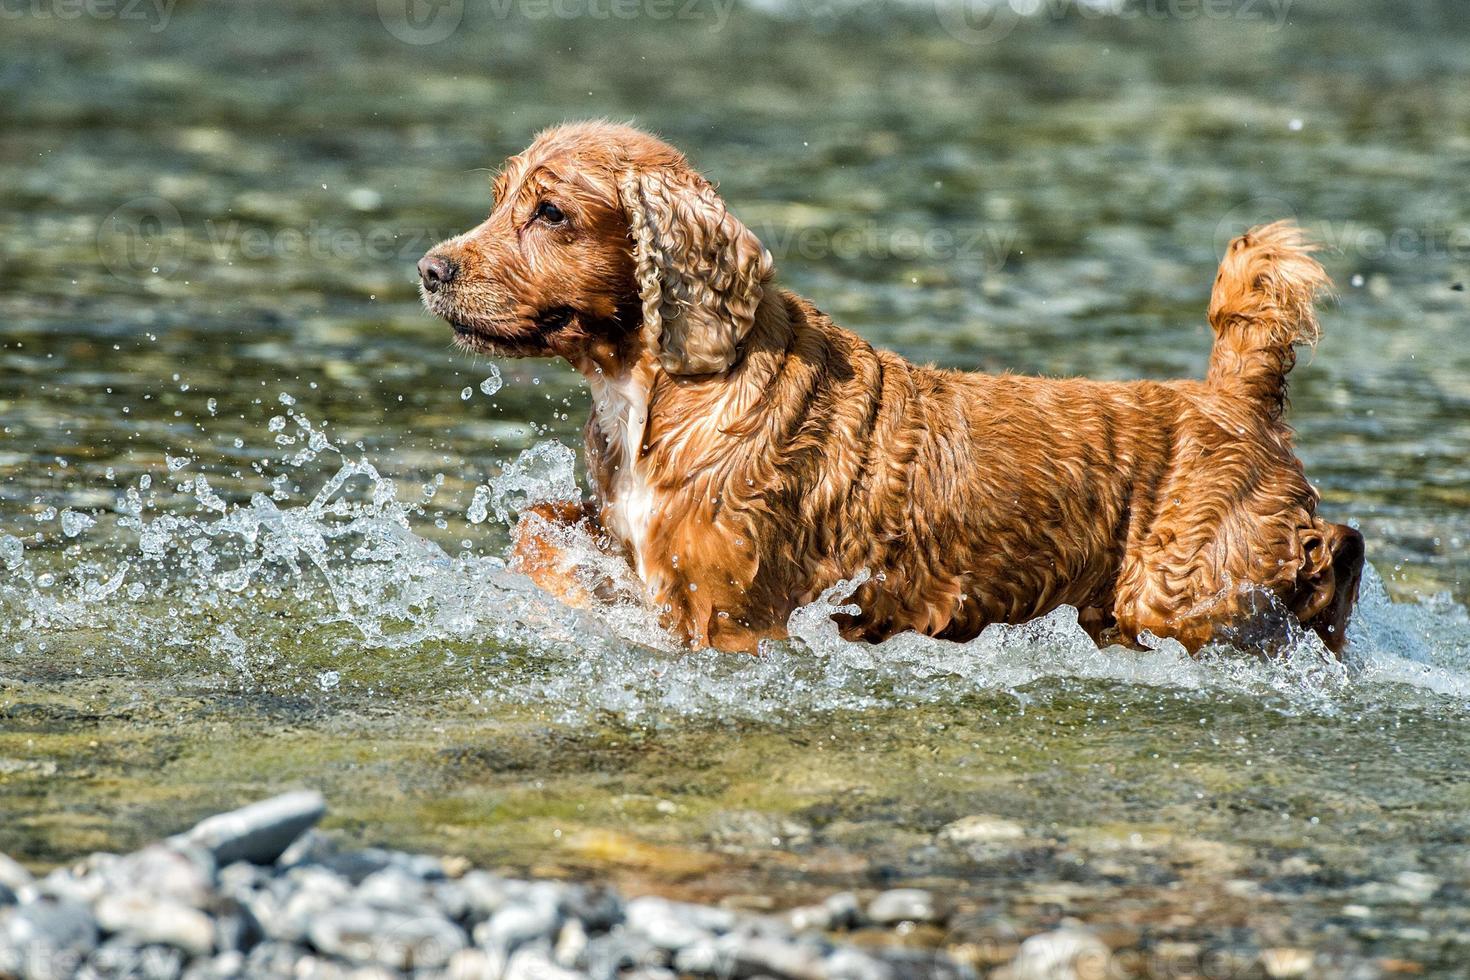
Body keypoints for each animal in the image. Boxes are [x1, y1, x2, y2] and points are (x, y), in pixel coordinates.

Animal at [417, 124, 1364, 658]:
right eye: (499, 199)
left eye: (550, 214)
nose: (430, 268)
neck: (667, 392)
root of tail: (1234, 396)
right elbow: (540, 525)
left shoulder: (727, 613)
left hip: (1179, 589)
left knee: (1329, 549)